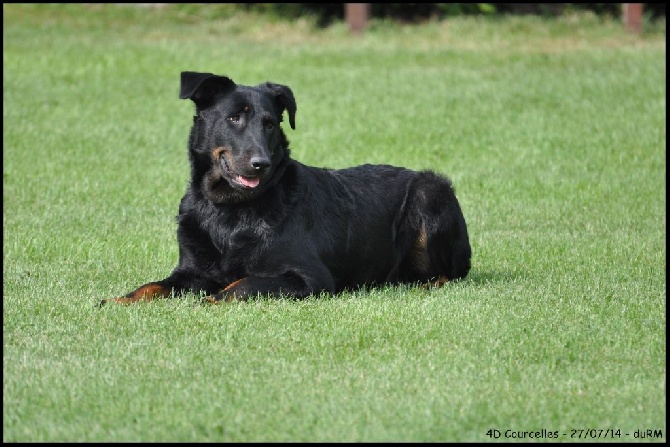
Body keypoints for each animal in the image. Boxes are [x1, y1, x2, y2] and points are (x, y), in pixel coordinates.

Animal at [103, 72, 472, 306]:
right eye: (234, 119)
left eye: (270, 124)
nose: (261, 163)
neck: (229, 209)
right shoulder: (189, 271)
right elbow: (151, 286)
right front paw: (120, 299)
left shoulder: (309, 278)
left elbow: (243, 283)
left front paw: (210, 299)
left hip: (430, 190)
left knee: (452, 273)